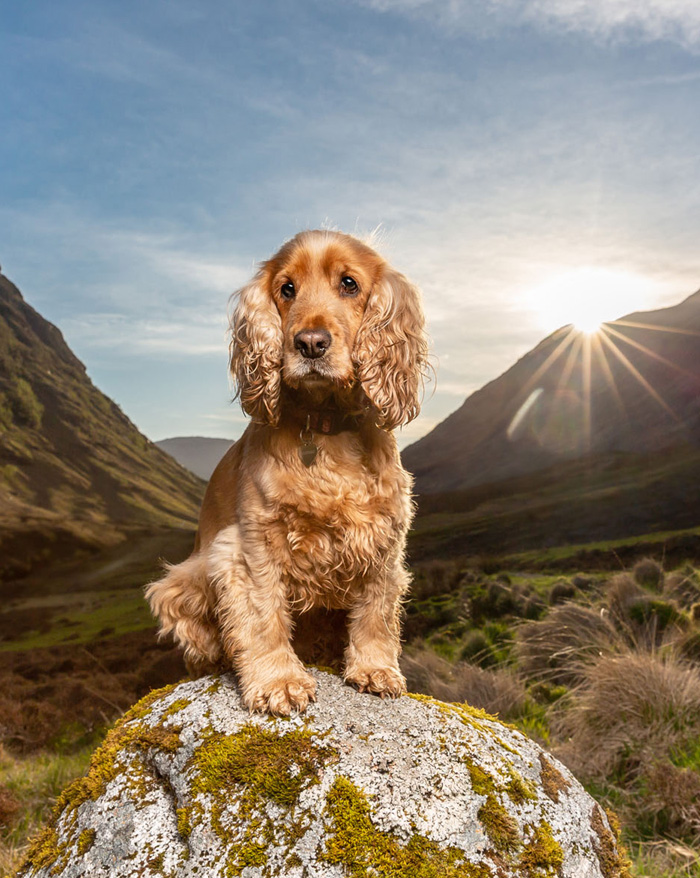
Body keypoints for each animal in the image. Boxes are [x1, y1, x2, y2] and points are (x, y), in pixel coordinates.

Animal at [146, 232, 426, 716]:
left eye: (349, 284)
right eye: (287, 289)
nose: (310, 343)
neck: (325, 425)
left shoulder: (383, 541)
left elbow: (377, 611)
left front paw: (374, 668)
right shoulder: (251, 548)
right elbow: (263, 617)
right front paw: (279, 681)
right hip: (181, 582)